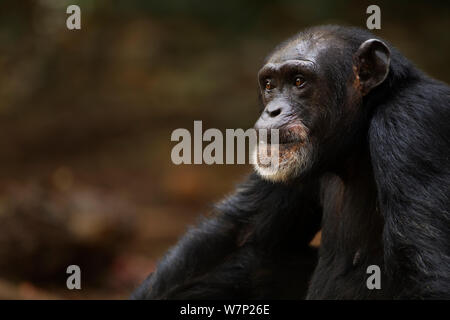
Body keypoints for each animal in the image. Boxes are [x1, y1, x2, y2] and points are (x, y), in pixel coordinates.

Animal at [132, 25, 448, 300]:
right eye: (270, 85)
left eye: (299, 81)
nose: (272, 111)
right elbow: (239, 231)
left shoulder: (411, 124)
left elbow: (426, 271)